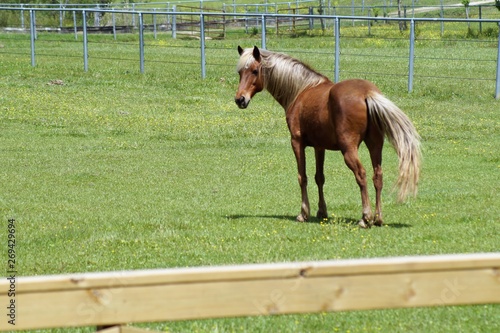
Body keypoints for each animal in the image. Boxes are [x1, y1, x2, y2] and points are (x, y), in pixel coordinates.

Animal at [234, 45, 422, 227]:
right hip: (375, 145)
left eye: (255, 71)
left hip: (349, 150)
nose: (239, 99)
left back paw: (365, 218)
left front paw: (303, 213)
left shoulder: (297, 142)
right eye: (240, 72)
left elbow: (302, 177)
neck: (301, 90)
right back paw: (378, 218)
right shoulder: (319, 147)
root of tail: (367, 93)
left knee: (361, 175)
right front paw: (322, 211)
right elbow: (319, 177)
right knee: (378, 176)